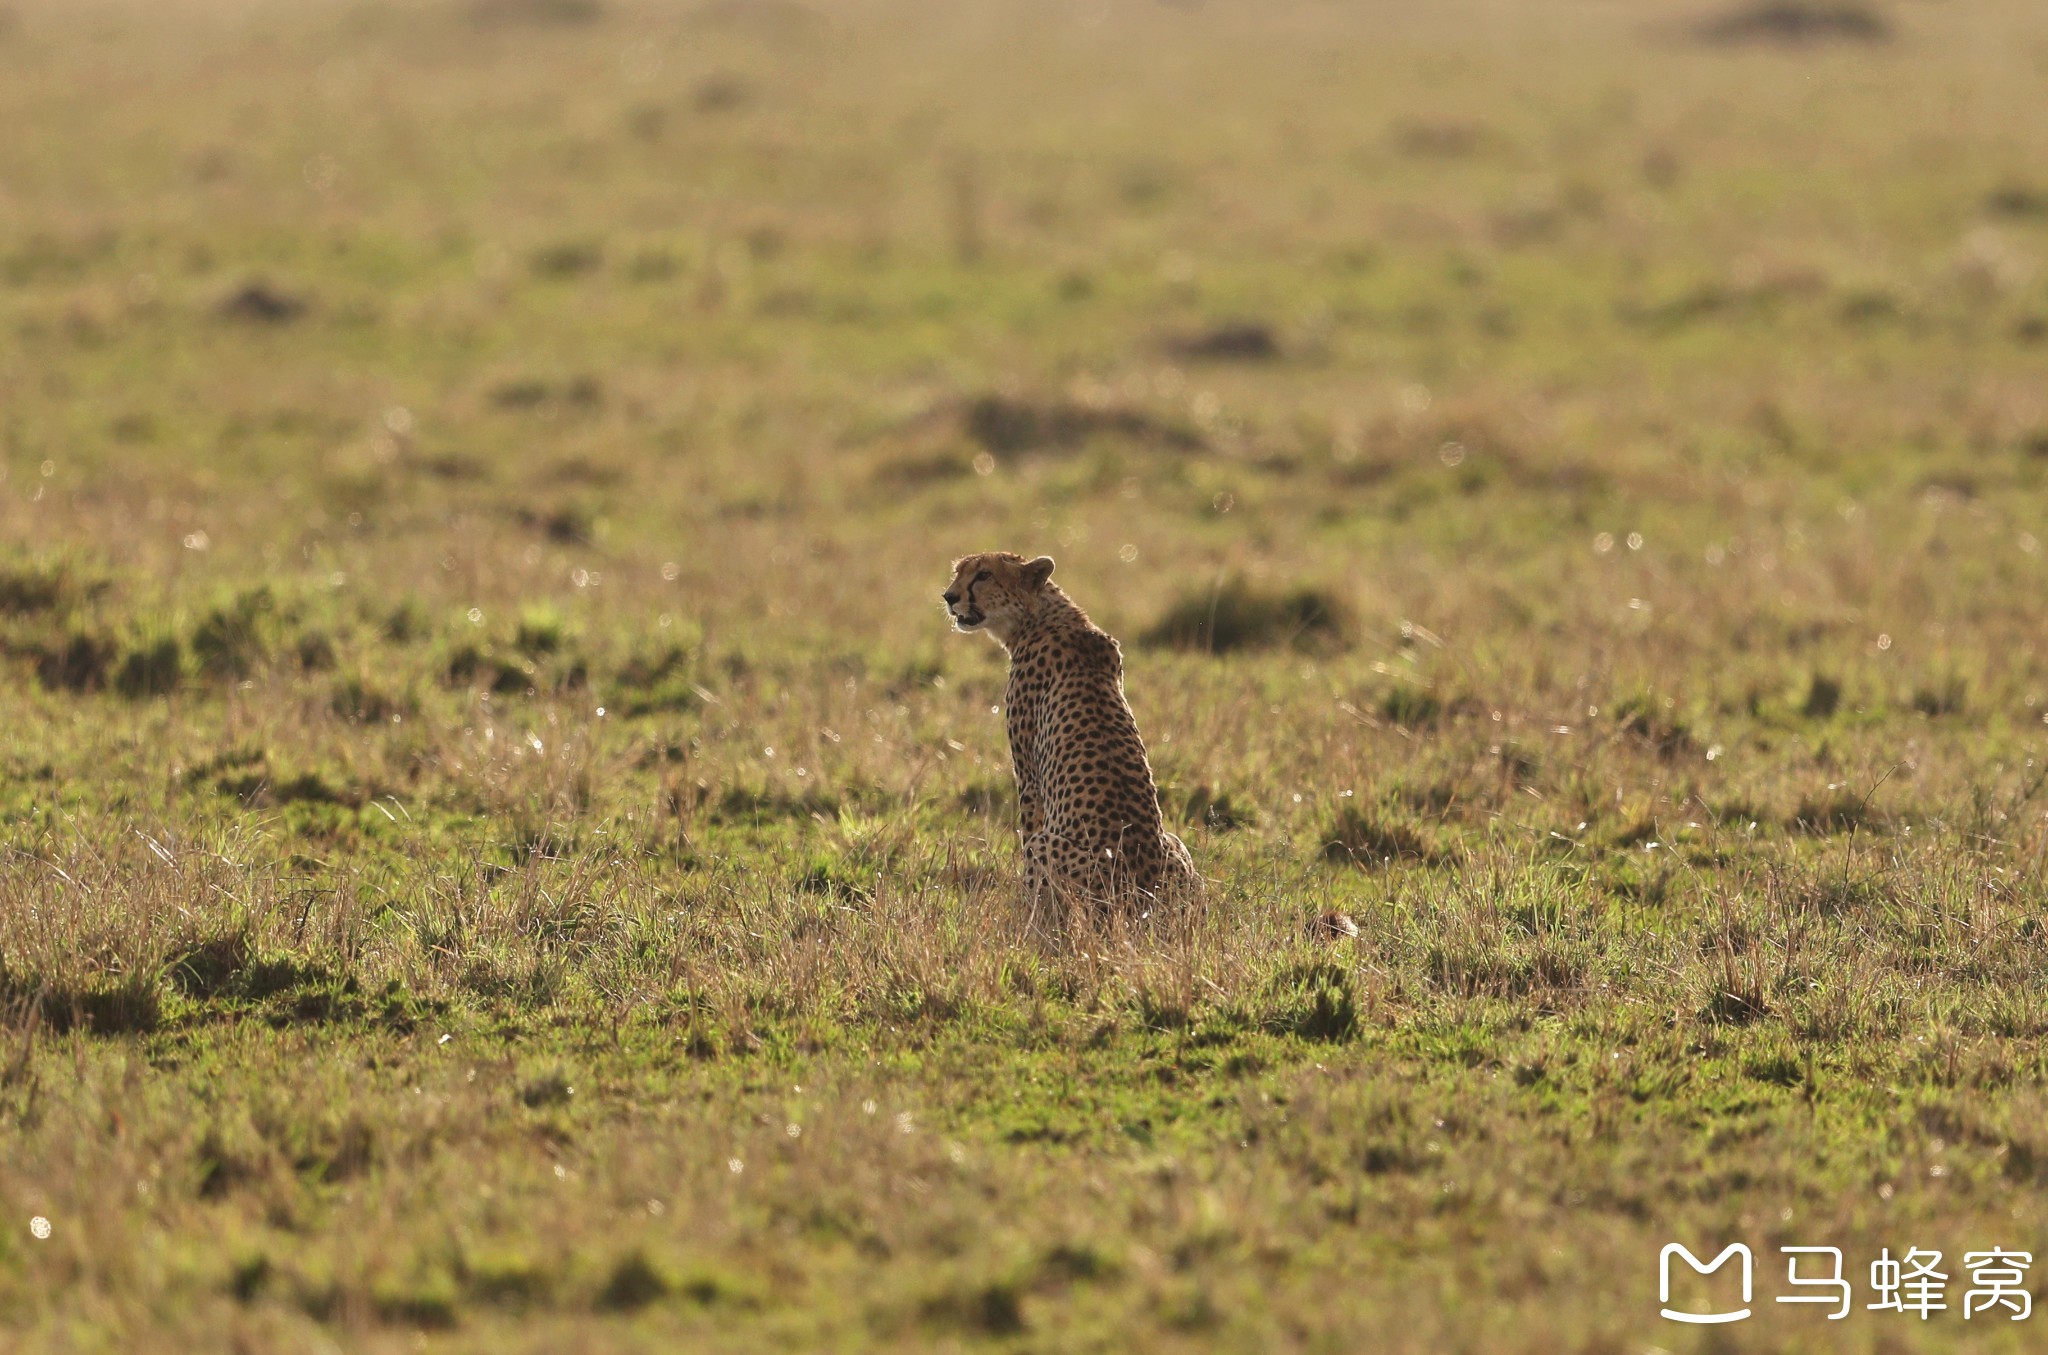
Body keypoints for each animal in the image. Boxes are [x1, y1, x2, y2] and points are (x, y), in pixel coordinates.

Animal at [942, 556, 1196, 933]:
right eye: (958, 571)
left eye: (984, 574)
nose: (949, 596)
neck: (1041, 615)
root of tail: (1143, 901)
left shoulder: (1029, 780)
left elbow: (1027, 838)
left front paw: (1023, 919)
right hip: (1176, 845)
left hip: (1052, 850)